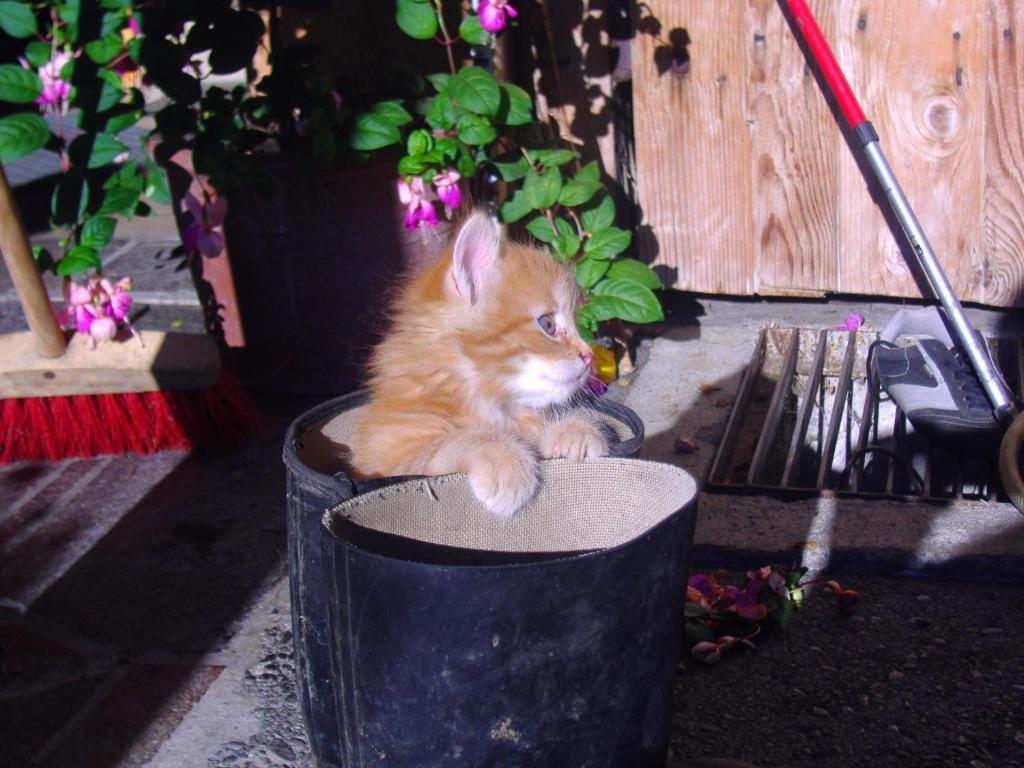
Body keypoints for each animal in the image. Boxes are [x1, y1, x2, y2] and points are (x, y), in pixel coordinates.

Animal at [352, 208, 606, 518]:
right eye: (547, 324)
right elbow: (454, 443)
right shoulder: (385, 458)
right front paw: (504, 457)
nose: (589, 355)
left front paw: (573, 430)